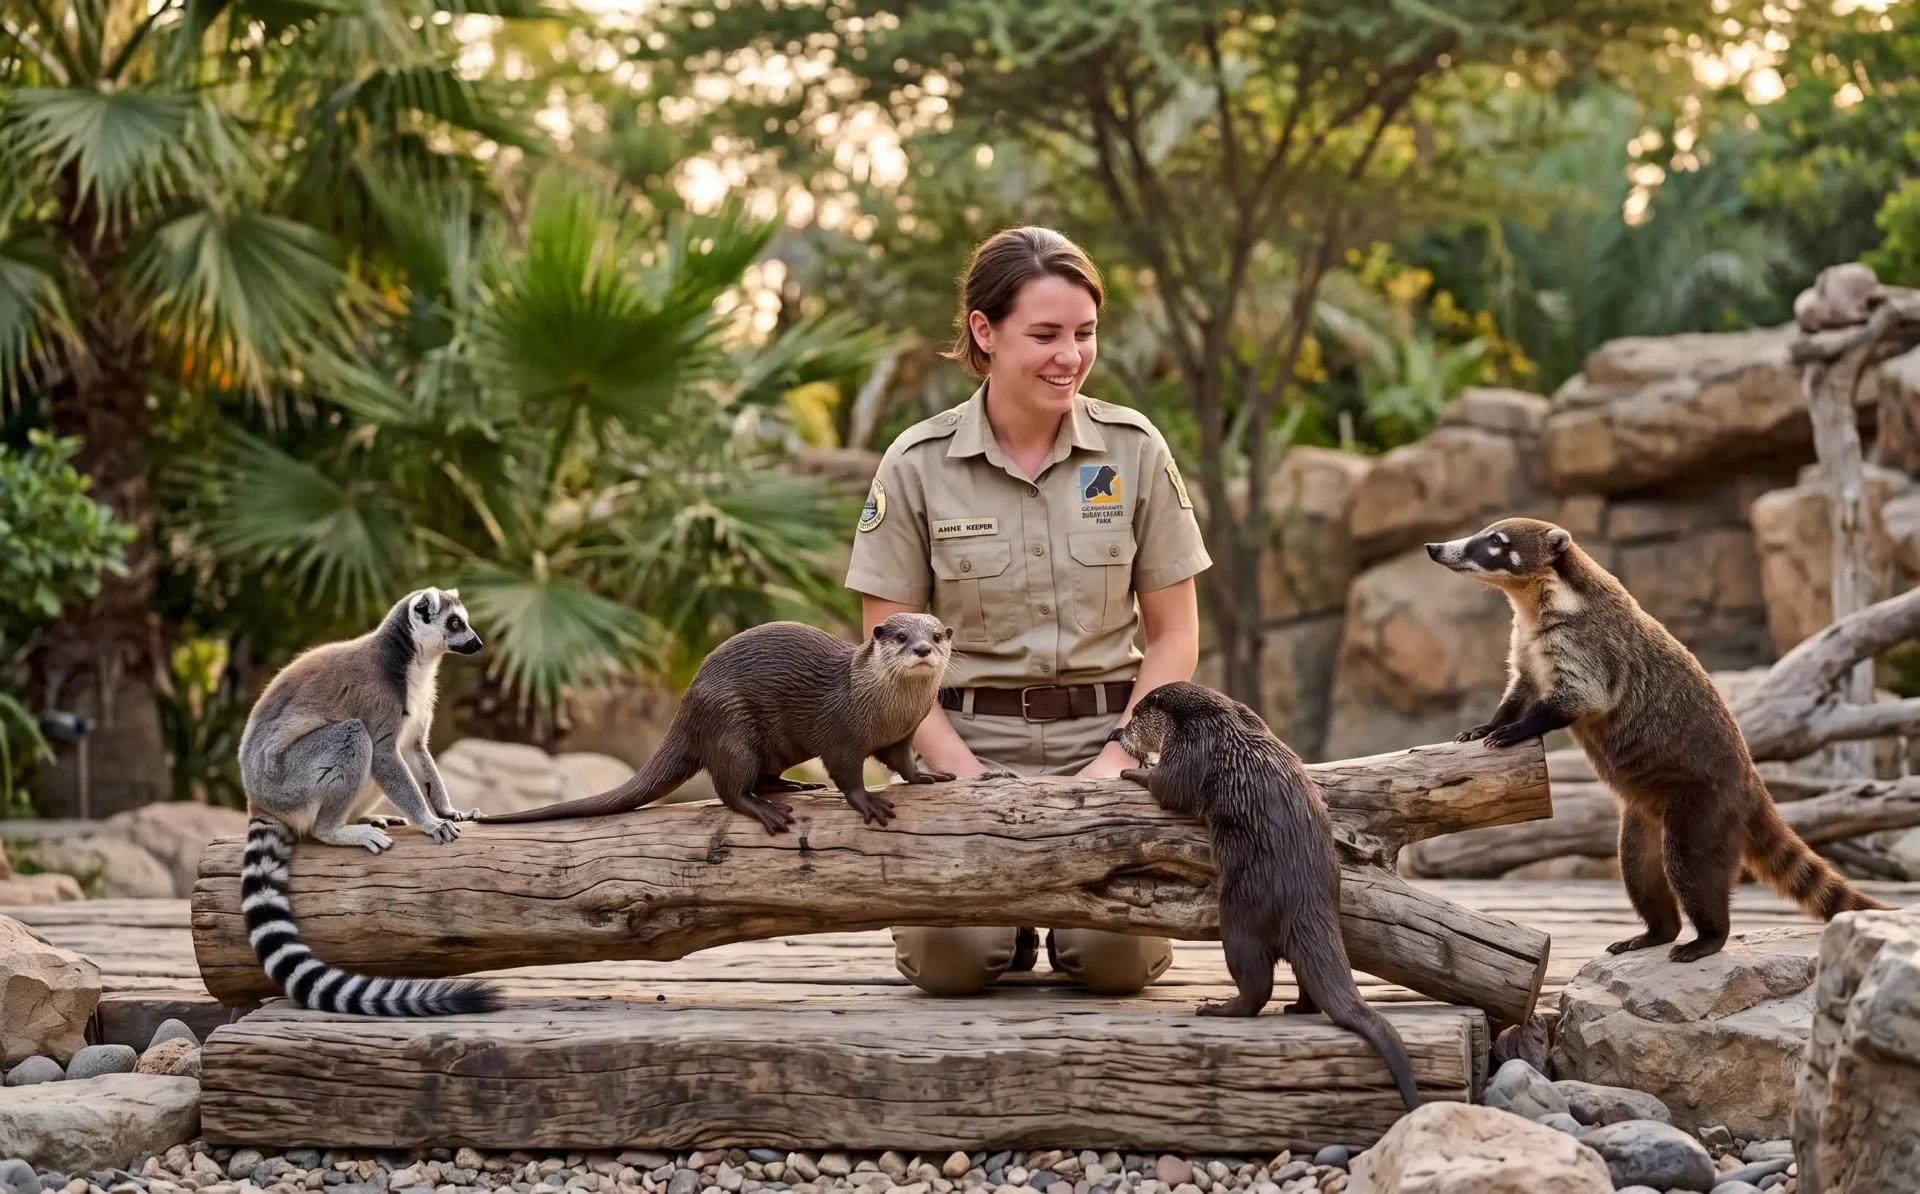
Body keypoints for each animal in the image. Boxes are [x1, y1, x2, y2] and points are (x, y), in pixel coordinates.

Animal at [483, 614, 958, 833]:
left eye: (936, 636)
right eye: (900, 636)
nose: (922, 649)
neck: (880, 708)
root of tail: (686, 709)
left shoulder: (902, 734)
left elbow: (902, 761)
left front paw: (928, 776)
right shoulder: (840, 733)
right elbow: (846, 774)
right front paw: (868, 803)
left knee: (762, 776)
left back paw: (794, 786)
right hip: (730, 727)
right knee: (730, 788)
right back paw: (766, 810)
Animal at [1112, 681, 1421, 1113]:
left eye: (1137, 715)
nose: (1118, 733)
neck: (1209, 718)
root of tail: (1307, 896)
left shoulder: (1191, 747)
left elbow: (1169, 786)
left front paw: (1133, 770)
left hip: (1241, 910)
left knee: (1256, 984)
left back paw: (1217, 1008)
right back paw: (1297, 1006)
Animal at [1427, 516, 1891, 963]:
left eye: (1496, 542)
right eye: (1485, 533)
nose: (1434, 547)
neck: (1533, 602)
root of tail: (1750, 781)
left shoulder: (1586, 646)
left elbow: (1580, 697)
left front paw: (1521, 727)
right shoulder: (1524, 648)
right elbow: (1519, 690)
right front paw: (1488, 724)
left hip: (1704, 808)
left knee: (1691, 867)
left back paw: (1709, 935)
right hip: (1641, 819)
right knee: (1639, 871)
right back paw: (1657, 930)